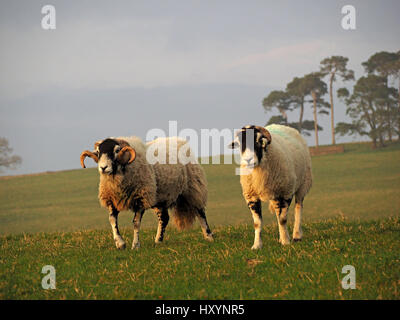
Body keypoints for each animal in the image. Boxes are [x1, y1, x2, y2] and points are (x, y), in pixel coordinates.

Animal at [79, 136, 214, 250]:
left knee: (200, 212)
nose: (103, 168)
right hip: (160, 197)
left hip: (193, 188)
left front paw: (135, 245)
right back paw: (158, 240)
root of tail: (179, 140)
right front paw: (120, 243)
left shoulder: (141, 198)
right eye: (98, 152)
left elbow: (136, 223)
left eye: (117, 150)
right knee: (164, 218)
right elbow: (112, 220)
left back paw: (209, 236)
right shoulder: (111, 199)